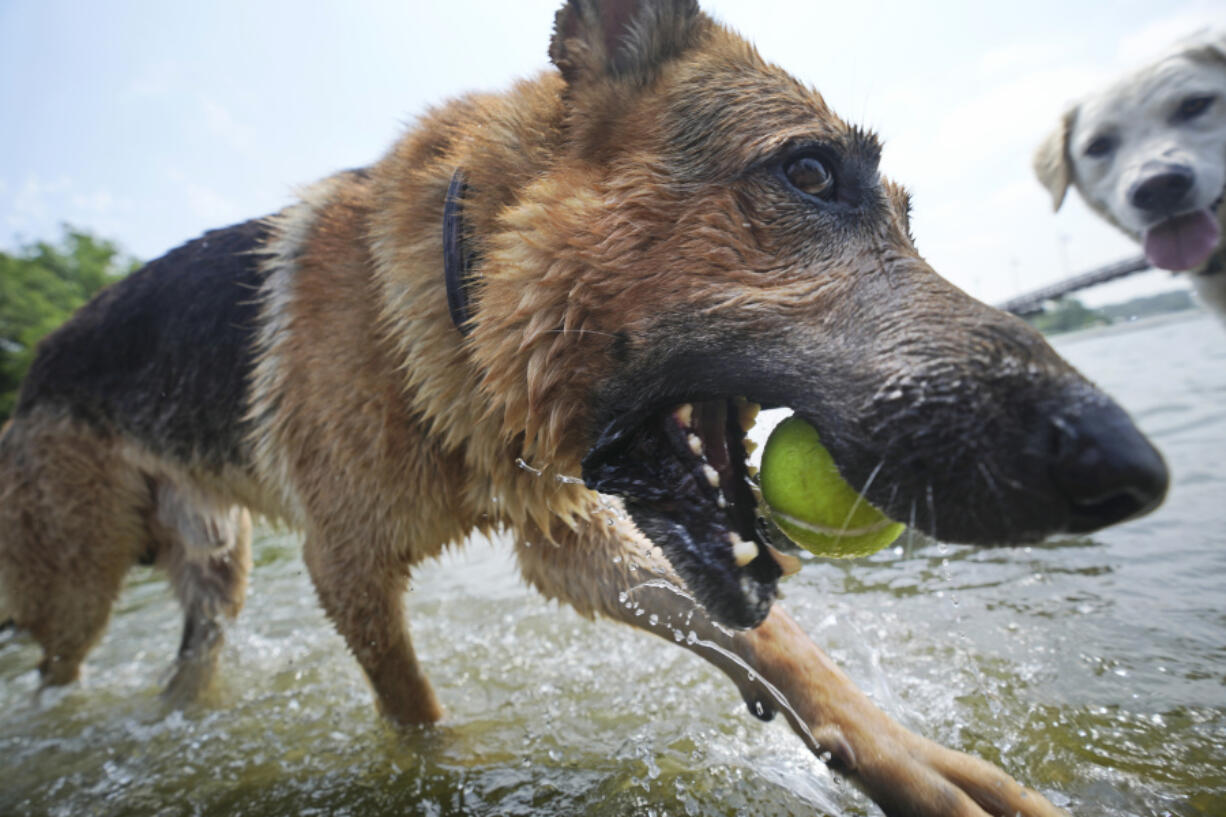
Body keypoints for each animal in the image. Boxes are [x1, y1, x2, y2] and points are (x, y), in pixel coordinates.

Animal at [2, 3, 1167, 809]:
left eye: (907, 217)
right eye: (808, 172)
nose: (1136, 470)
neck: (457, 304)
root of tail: (35, 366)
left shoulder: (573, 537)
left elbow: (784, 647)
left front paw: (914, 764)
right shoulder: (350, 573)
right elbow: (417, 719)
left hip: (215, 573)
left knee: (185, 663)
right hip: (80, 584)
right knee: (54, 672)